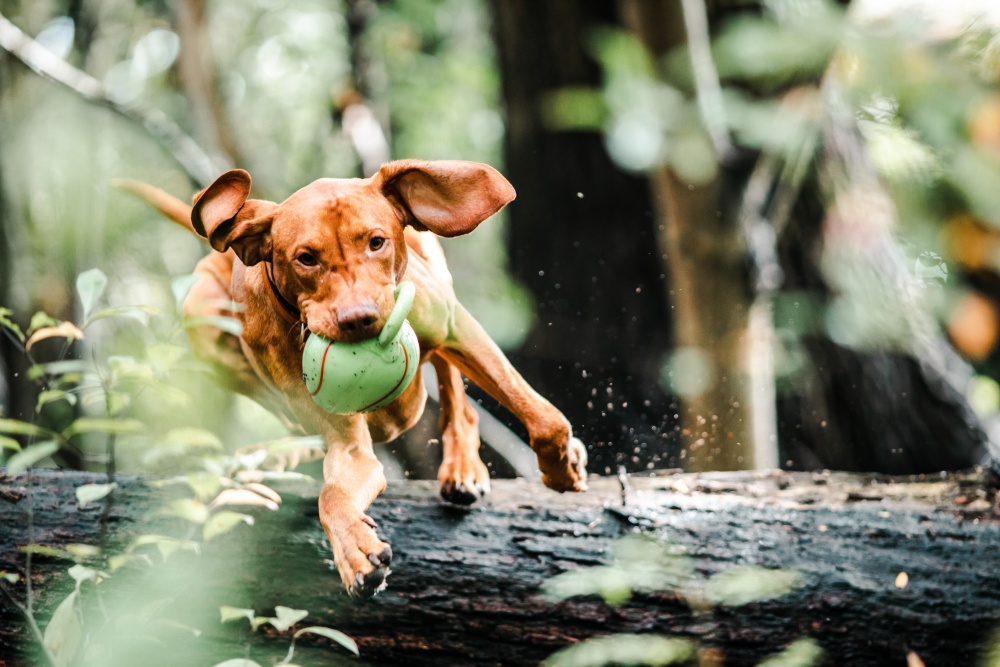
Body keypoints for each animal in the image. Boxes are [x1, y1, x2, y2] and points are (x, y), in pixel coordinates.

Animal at [128, 163, 588, 600]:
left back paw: (463, 466)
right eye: (306, 258)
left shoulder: (455, 327)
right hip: (202, 313)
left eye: (376, 242)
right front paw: (355, 553)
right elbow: (332, 494)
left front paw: (561, 467)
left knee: (455, 389)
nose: (359, 319)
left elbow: (543, 418)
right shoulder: (347, 444)